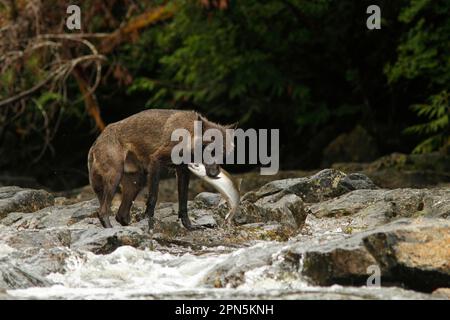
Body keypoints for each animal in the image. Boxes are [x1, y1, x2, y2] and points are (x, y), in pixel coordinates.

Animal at [89, 109, 236, 230]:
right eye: (209, 151)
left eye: (222, 154)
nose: (214, 174)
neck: (187, 135)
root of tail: (97, 141)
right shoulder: (156, 162)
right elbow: (153, 197)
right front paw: (149, 221)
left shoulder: (183, 171)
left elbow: (183, 203)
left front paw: (189, 226)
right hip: (115, 178)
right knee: (102, 211)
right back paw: (110, 229)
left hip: (137, 182)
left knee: (121, 215)